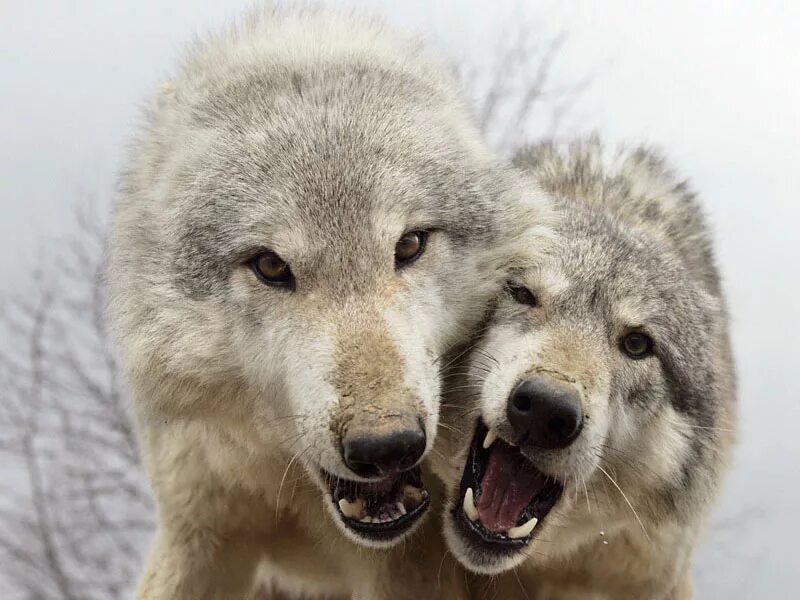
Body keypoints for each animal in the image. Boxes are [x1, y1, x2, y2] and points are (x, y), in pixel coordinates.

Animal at [104, 4, 552, 600]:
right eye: (271, 267)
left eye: (409, 245)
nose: (387, 446)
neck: (294, 492)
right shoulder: (198, 526)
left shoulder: (408, 567)